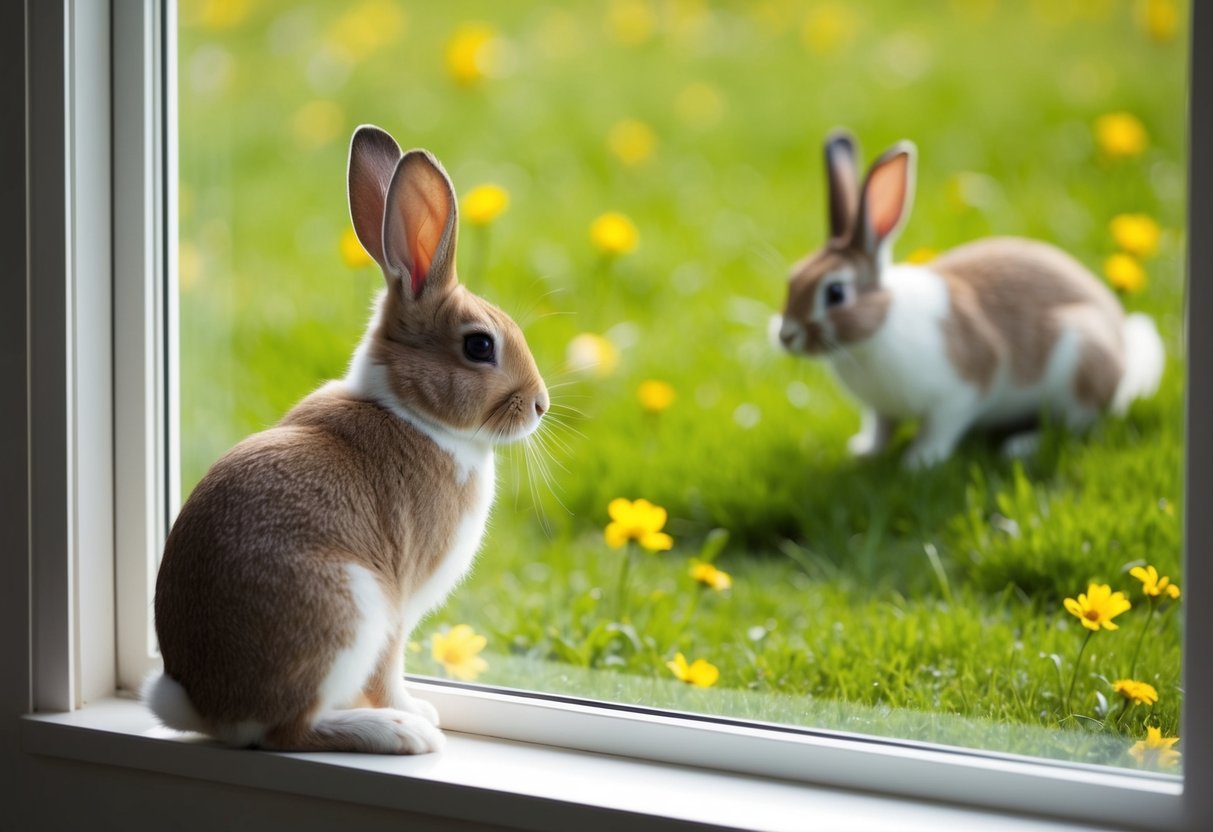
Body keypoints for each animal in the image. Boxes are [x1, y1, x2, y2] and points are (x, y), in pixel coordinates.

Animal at [143, 125, 549, 754]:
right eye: (480, 346)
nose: (539, 405)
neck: (411, 410)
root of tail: (211, 709)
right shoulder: (398, 603)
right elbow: (390, 671)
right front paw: (416, 711)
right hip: (351, 608)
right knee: (289, 732)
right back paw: (399, 733)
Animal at [775, 130, 1164, 469]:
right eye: (793, 278)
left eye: (835, 293)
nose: (786, 336)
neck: (877, 328)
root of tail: (1122, 363)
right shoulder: (881, 409)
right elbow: (882, 428)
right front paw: (864, 452)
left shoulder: (961, 391)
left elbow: (940, 428)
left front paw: (919, 461)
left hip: (1082, 358)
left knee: (1076, 423)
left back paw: (1020, 446)